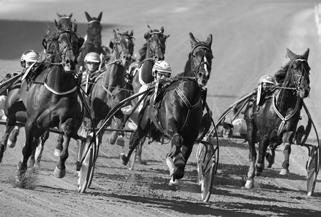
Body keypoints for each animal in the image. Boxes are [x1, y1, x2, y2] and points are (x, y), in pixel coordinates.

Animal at [15, 28, 83, 181]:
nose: (70, 61)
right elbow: (27, 147)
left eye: (76, 43)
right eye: (60, 41)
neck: (57, 89)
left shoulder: (66, 118)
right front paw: (21, 172)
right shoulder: (31, 121)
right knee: (31, 143)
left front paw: (60, 168)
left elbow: (66, 134)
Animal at [120, 32, 212, 185]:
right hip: (144, 122)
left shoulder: (191, 135)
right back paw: (126, 157)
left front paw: (176, 171)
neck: (188, 98)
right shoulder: (169, 126)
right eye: (195, 55)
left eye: (210, 56)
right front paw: (171, 158)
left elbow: (183, 156)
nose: (203, 75)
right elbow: (177, 139)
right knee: (136, 137)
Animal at [242, 48, 310, 189]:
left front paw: (284, 167)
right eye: (294, 67)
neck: (283, 104)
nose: (304, 89)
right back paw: (250, 178)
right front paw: (257, 170)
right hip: (250, 128)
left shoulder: (288, 131)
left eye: (308, 68)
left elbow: (287, 146)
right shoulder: (264, 134)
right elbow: (259, 157)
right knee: (253, 153)